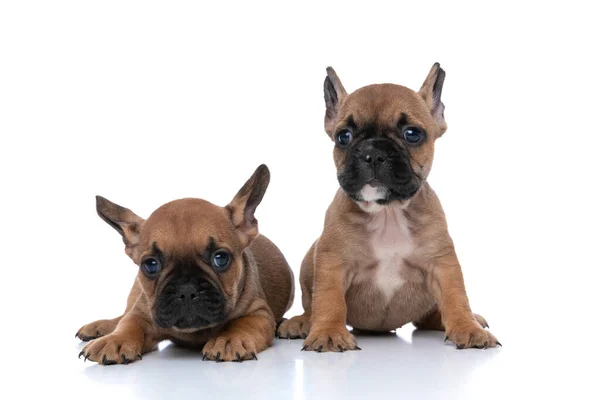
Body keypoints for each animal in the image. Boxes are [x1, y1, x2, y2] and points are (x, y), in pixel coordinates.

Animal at [77, 164, 296, 364]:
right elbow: (129, 323)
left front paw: (229, 339)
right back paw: (100, 327)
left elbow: (243, 324)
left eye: (220, 258)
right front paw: (114, 340)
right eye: (151, 265)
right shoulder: (142, 313)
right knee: (123, 315)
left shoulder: (259, 313)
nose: (186, 290)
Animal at [278, 64, 500, 352]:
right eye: (343, 137)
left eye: (412, 134)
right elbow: (329, 300)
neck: (388, 213)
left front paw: (467, 327)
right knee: (310, 305)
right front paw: (328, 332)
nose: (373, 153)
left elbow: (456, 297)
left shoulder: (442, 263)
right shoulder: (332, 263)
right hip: (309, 261)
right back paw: (302, 322)